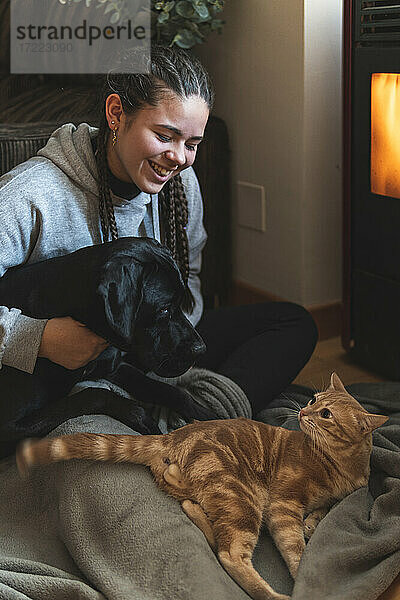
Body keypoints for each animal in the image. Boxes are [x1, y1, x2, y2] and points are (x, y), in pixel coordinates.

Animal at [0, 237, 212, 452]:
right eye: (164, 309)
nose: (200, 350)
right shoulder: (8, 427)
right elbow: (93, 394)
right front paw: (140, 415)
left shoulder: (114, 367)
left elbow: (170, 391)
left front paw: (208, 416)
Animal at [16, 372, 388, 596]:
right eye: (313, 401)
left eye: (326, 414)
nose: (303, 413)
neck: (341, 464)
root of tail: (171, 435)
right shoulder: (282, 506)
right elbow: (297, 550)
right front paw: (303, 574)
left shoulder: (342, 494)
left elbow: (326, 508)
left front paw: (314, 522)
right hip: (245, 499)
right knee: (229, 555)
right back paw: (274, 594)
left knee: (202, 518)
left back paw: (191, 504)